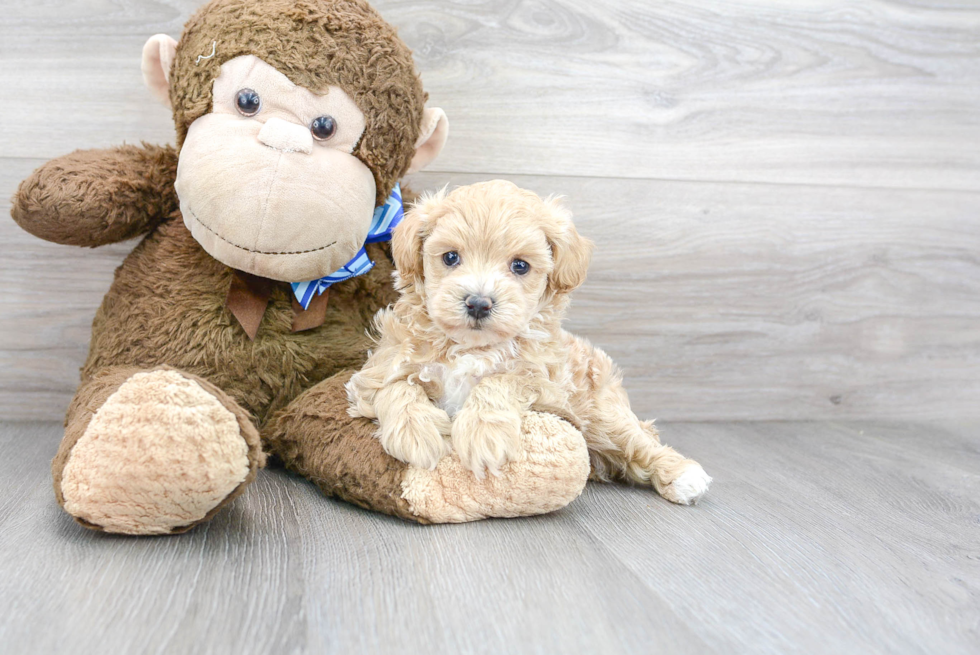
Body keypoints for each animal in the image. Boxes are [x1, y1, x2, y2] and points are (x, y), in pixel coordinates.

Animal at [346, 182, 712, 504]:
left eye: (520, 266)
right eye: (450, 258)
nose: (478, 303)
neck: (472, 347)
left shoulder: (549, 387)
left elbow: (502, 380)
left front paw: (483, 434)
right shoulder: (379, 367)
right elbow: (396, 386)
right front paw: (418, 433)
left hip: (600, 412)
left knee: (636, 441)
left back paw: (683, 476)